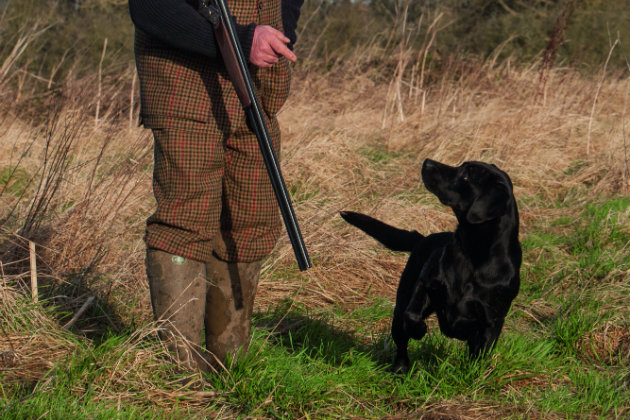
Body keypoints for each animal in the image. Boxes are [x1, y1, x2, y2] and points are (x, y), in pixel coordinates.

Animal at [340, 159, 524, 372]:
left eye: (466, 176)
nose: (427, 162)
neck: (473, 256)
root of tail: (421, 238)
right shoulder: (426, 285)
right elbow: (411, 315)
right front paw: (419, 330)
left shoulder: (491, 321)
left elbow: (479, 355)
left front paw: (472, 375)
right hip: (401, 303)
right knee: (401, 341)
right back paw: (400, 369)